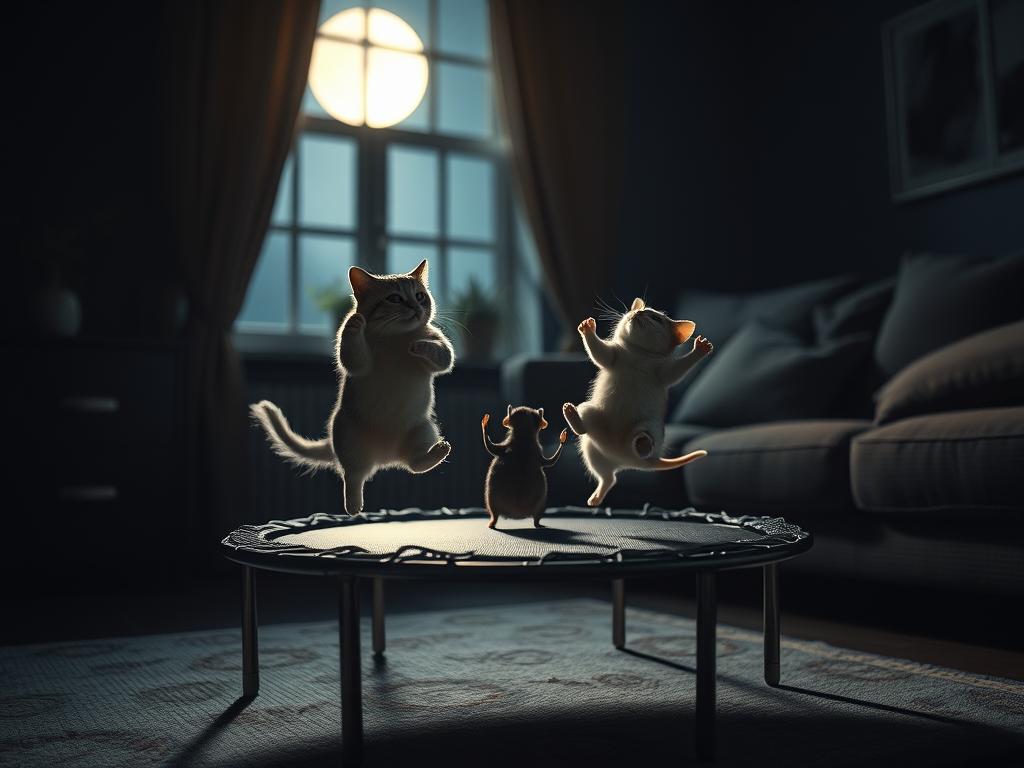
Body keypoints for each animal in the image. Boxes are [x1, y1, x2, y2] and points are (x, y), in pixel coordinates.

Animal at [247, 259, 452, 518]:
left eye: (420, 295)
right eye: (395, 298)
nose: (416, 306)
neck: (394, 337)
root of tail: (385, 457)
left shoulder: (439, 348)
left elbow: (443, 355)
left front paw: (419, 345)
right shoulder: (358, 363)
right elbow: (353, 355)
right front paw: (353, 322)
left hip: (423, 429)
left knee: (415, 465)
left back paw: (438, 451)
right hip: (348, 438)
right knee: (353, 476)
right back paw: (353, 506)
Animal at [565, 296, 716, 507]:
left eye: (655, 318)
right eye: (636, 310)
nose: (637, 312)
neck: (639, 354)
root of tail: (628, 460)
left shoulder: (664, 372)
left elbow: (677, 370)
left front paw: (699, 350)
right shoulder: (613, 356)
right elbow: (599, 353)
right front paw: (587, 328)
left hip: (649, 427)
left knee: (639, 443)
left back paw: (643, 444)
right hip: (592, 430)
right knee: (604, 470)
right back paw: (571, 414)